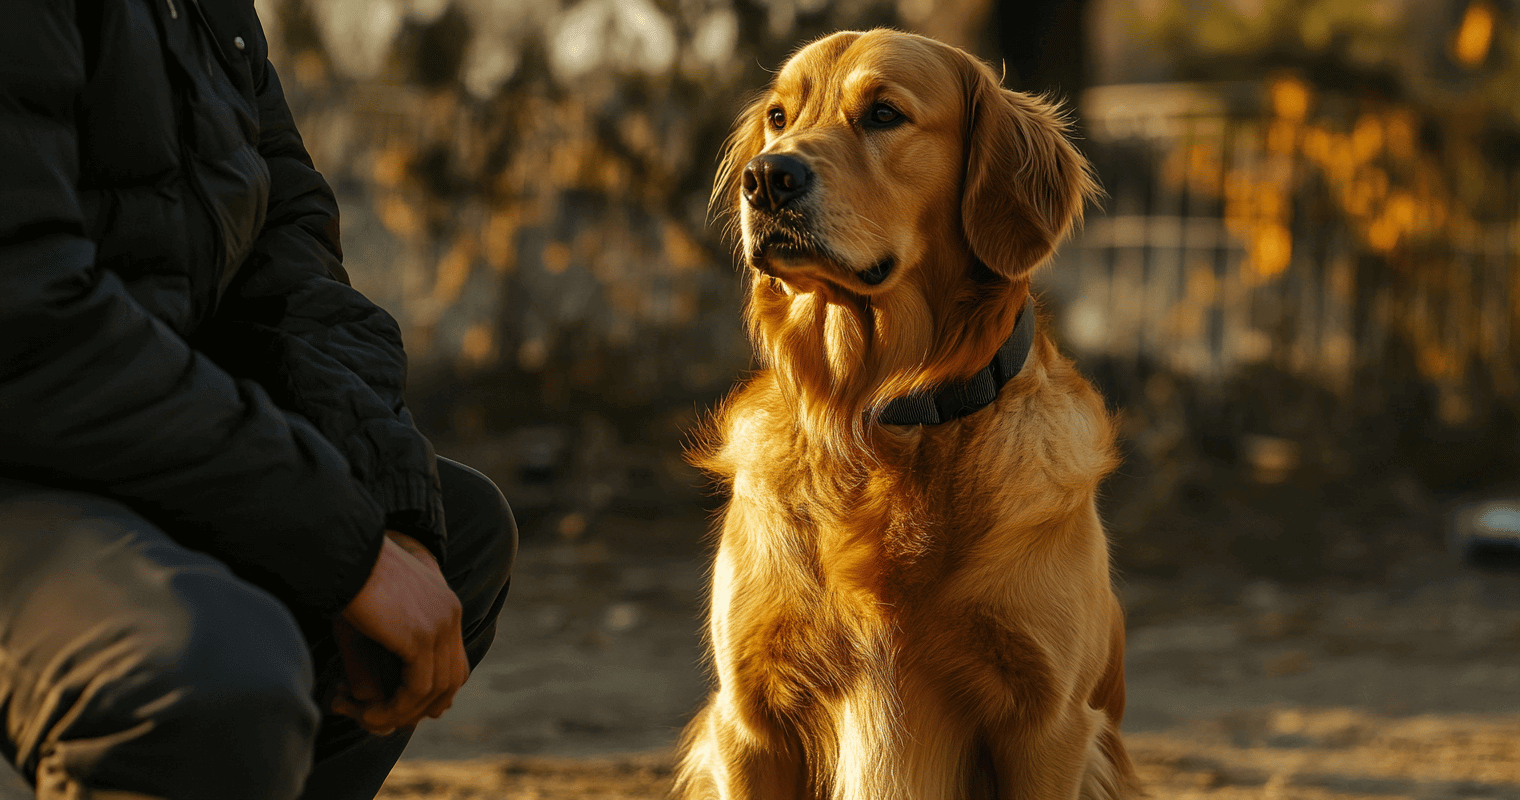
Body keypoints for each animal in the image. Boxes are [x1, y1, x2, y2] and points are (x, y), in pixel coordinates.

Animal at [677, 29, 1143, 800]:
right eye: (778, 117)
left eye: (884, 114)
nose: (766, 178)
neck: (878, 414)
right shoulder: (750, 721)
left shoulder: (1046, 723)